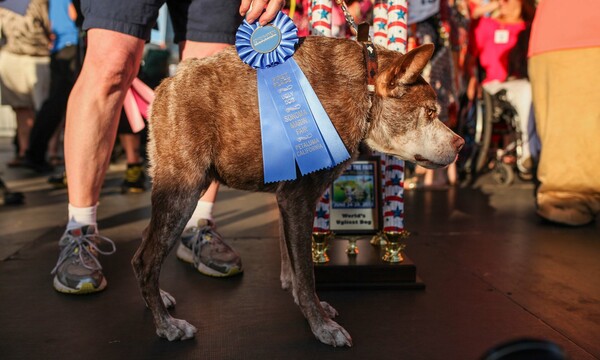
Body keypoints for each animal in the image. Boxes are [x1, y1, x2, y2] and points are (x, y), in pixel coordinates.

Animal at [131, 35, 464, 346]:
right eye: (430, 112)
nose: (460, 143)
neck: (363, 88)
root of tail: (166, 85)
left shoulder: (287, 201)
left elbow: (293, 268)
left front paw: (309, 306)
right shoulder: (298, 199)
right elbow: (306, 274)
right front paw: (321, 326)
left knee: (142, 249)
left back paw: (158, 299)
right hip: (183, 190)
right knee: (147, 259)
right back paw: (167, 325)